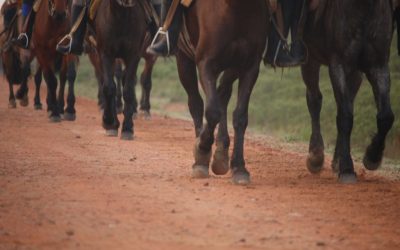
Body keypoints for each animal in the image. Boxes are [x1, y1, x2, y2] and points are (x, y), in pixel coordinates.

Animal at [91, 0, 149, 140]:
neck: (122, 15)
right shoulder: (105, 53)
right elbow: (109, 87)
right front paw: (109, 122)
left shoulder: (134, 55)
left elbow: (128, 89)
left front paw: (127, 128)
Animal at [177, 0, 270, 186]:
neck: (237, 8)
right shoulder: (205, 62)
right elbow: (212, 111)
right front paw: (202, 153)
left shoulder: (249, 66)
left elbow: (240, 116)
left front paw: (239, 167)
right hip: (183, 57)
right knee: (196, 102)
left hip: (232, 65)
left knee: (222, 93)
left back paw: (221, 153)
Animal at [302, 0, 392, 184]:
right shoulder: (339, 65)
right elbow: (345, 116)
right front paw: (347, 169)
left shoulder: (379, 66)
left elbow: (386, 116)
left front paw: (372, 157)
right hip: (310, 57)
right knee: (314, 100)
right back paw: (316, 156)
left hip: (356, 73)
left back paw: (336, 160)